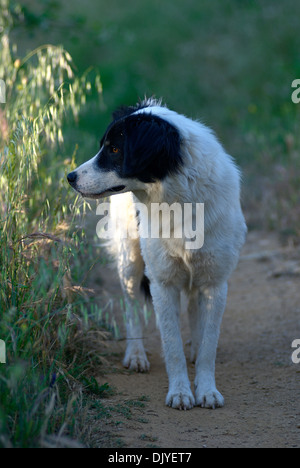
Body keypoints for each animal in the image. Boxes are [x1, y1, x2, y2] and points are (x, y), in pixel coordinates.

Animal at [67, 98, 246, 410]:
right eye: (104, 146)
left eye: (115, 149)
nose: (70, 177)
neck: (180, 200)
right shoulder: (163, 282)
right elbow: (171, 344)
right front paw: (180, 392)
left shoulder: (215, 281)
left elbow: (209, 344)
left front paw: (207, 390)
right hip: (130, 261)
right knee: (131, 307)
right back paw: (136, 354)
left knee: (193, 310)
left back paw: (193, 347)